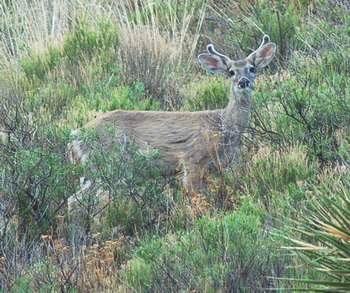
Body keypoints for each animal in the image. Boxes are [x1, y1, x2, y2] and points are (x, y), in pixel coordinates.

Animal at [68, 34, 276, 201]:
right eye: (231, 72)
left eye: (252, 68)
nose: (243, 82)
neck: (223, 125)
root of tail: (75, 136)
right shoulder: (193, 159)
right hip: (105, 163)